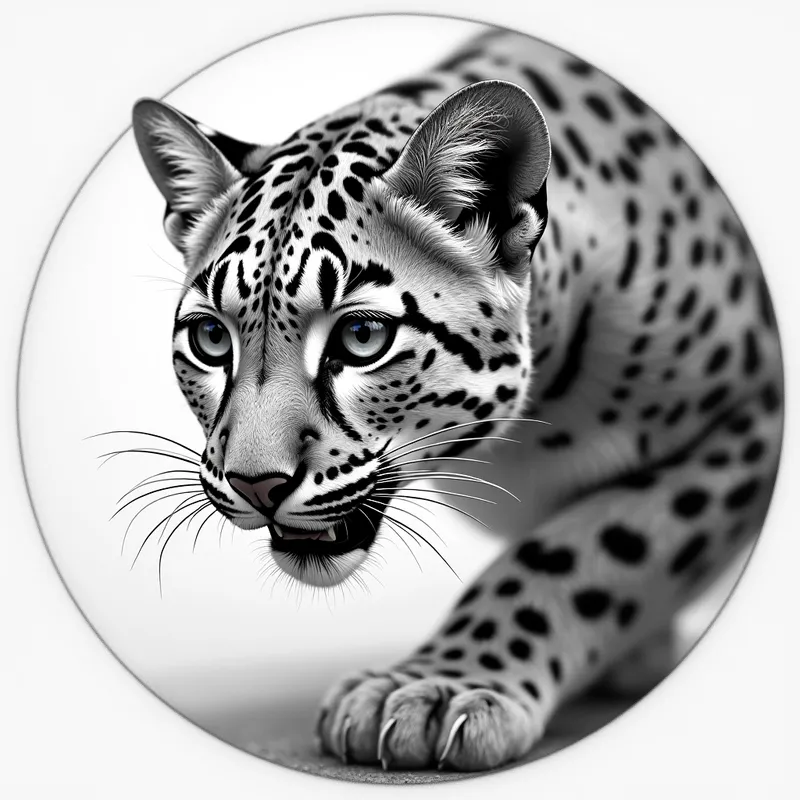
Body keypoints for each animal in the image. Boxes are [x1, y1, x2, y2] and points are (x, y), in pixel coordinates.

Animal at [131, 26, 783, 772]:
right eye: (211, 338)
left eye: (361, 337)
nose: (255, 484)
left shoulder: (751, 420)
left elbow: (582, 551)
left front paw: (434, 690)